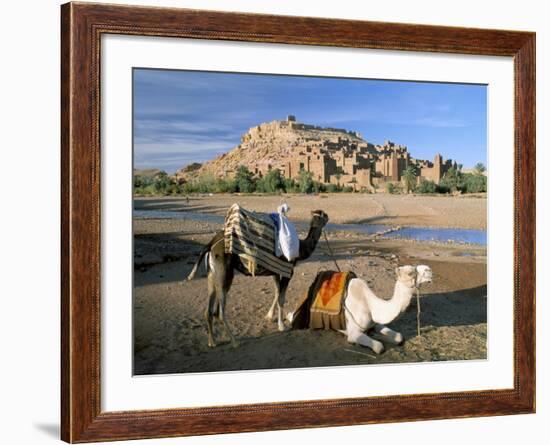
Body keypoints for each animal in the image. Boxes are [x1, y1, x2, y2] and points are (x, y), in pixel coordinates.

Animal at [188, 209, 330, 346]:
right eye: (324, 215)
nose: (328, 217)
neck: (300, 249)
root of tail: (210, 245)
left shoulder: (275, 271)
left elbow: (277, 293)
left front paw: (269, 316)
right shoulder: (288, 271)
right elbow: (281, 298)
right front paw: (281, 326)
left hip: (212, 275)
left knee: (209, 309)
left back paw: (212, 342)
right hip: (224, 273)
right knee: (220, 312)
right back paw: (235, 341)